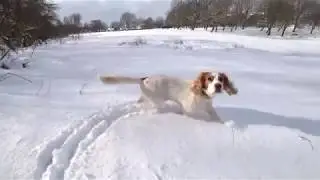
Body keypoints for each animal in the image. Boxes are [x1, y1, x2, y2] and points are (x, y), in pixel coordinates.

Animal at [99, 71, 238, 123]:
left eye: (221, 79)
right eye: (210, 78)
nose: (218, 86)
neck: (203, 96)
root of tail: (144, 79)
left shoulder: (209, 108)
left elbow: (215, 115)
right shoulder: (189, 110)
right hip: (157, 101)